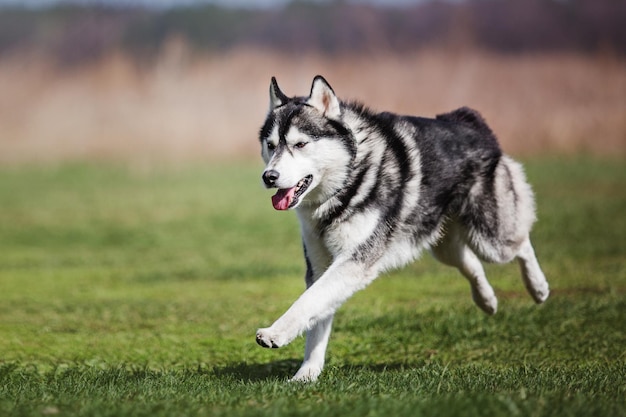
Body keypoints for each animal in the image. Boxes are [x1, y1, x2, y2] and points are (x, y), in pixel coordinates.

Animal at [254, 75, 544, 380]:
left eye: (300, 144)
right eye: (271, 145)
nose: (269, 176)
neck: (346, 183)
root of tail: (467, 118)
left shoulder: (355, 262)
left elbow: (308, 302)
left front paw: (275, 333)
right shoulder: (320, 266)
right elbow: (316, 316)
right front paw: (307, 374)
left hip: (491, 237)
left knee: (521, 243)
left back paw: (538, 288)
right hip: (443, 244)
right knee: (470, 262)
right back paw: (486, 300)